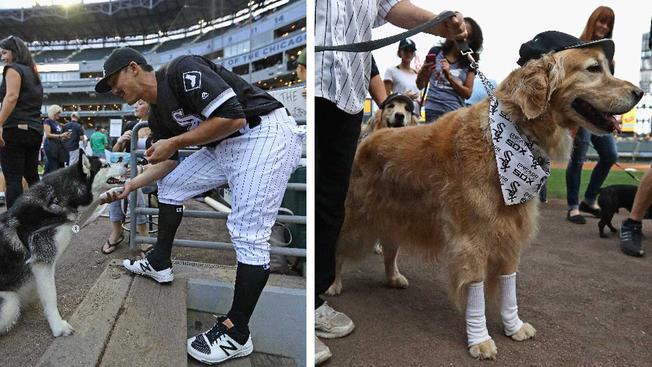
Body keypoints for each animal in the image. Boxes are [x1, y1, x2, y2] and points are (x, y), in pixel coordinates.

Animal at [0, 151, 125, 338]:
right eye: (105, 165)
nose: (126, 163)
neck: (57, 199)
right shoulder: (42, 262)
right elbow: (51, 296)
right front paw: (58, 326)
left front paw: (117, 190)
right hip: (9, 304)